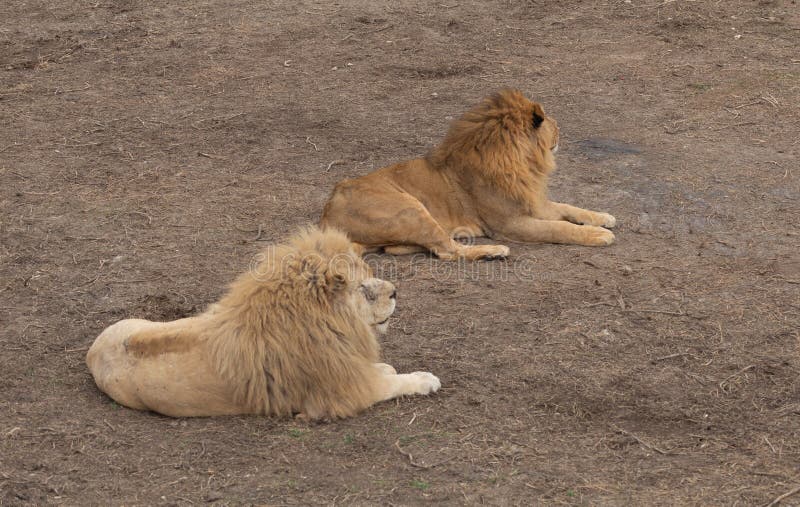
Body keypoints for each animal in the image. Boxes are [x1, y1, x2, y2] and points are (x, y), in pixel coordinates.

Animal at [86, 228, 444, 418]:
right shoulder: (343, 393)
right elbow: (393, 383)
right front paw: (424, 379)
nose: (396, 292)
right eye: (364, 290)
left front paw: (384, 366)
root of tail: (92, 352)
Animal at [322, 89, 616, 260]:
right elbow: (559, 227)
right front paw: (598, 234)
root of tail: (327, 216)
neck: (525, 164)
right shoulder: (509, 223)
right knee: (446, 251)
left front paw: (603, 217)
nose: (561, 128)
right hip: (409, 208)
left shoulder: (534, 202)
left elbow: (569, 207)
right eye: (547, 122)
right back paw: (493, 252)